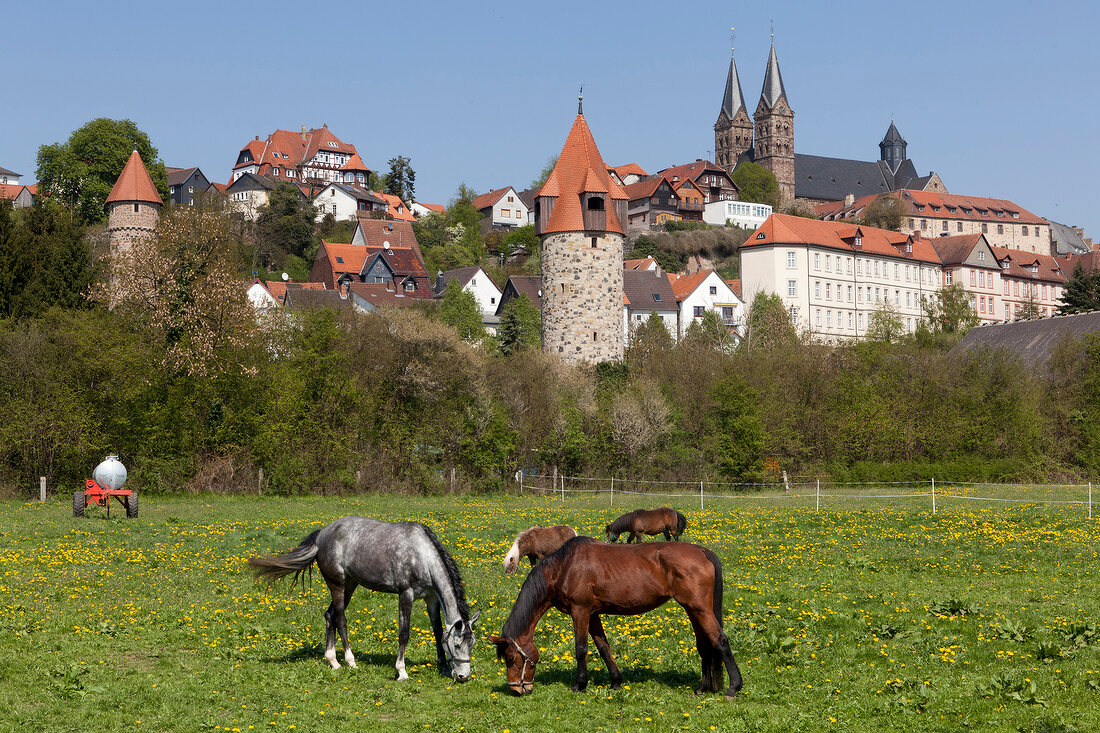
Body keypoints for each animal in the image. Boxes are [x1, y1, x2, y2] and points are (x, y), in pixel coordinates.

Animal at [251, 512, 479, 677]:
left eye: (472, 644)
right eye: (457, 645)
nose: (463, 677)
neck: (421, 554)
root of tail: (323, 533)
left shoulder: (431, 598)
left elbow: (437, 630)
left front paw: (443, 668)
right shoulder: (406, 595)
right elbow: (404, 634)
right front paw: (401, 671)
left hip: (350, 585)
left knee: (329, 615)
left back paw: (333, 661)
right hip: (337, 584)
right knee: (340, 619)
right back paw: (350, 661)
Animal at [488, 537, 739, 695]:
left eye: (510, 658)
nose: (517, 689)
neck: (564, 567)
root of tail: (702, 551)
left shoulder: (580, 612)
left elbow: (581, 649)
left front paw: (579, 685)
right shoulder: (593, 614)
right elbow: (603, 647)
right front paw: (616, 682)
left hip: (700, 608)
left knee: (720, 640)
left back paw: (733, 687)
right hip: (693, 609)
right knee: (704, 645)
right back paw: (703, 687)